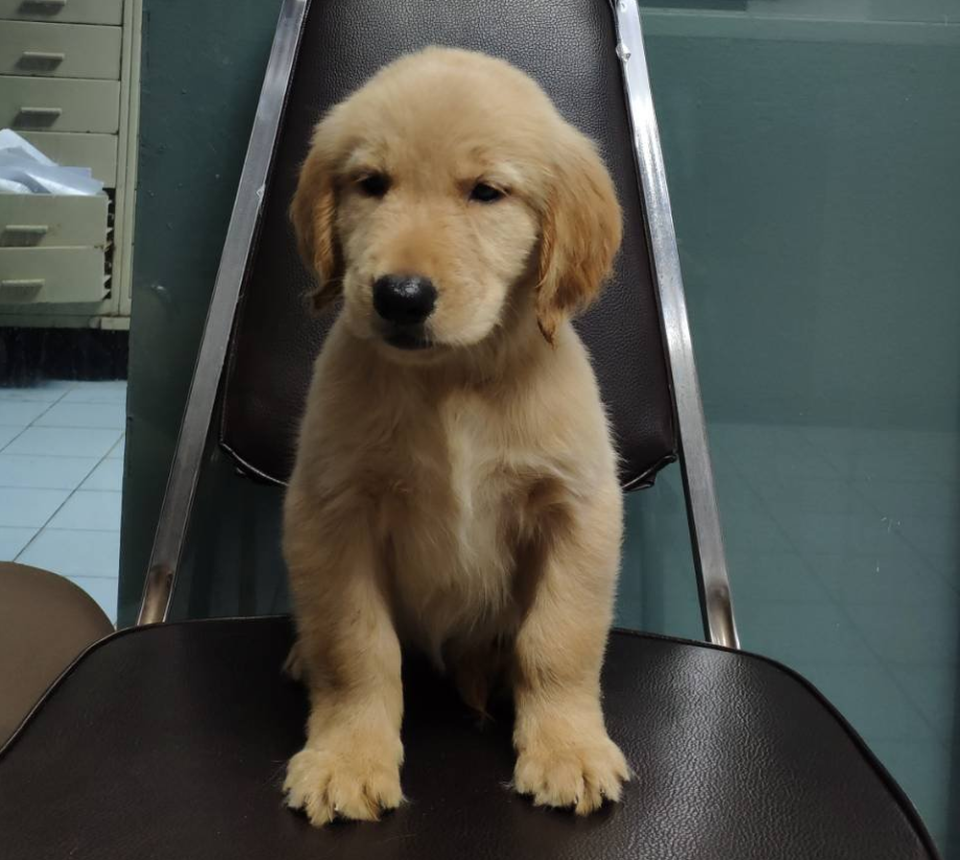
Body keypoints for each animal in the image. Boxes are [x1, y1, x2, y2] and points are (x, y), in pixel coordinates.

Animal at [284, 48, 632, 828]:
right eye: (371, 184)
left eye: (487, 193)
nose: (401, 296)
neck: (453, 379)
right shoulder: (333, 510)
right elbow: (355, 647)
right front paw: (347, 757)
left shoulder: (579, 508)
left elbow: (559, 639)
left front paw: (568, 749)